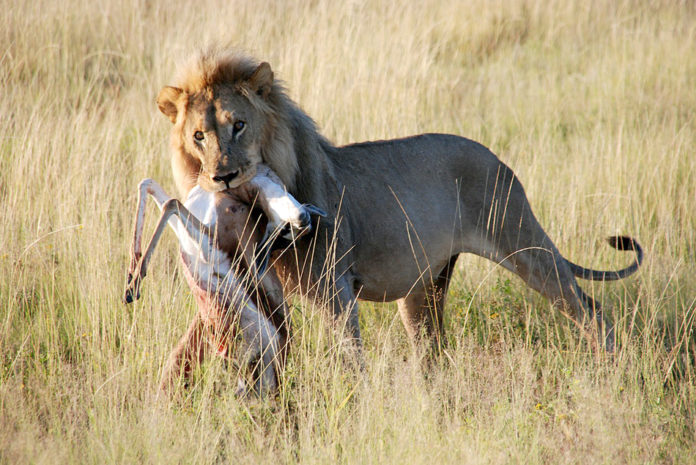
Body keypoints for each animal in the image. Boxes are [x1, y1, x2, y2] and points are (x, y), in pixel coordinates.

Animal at [156, 49, 640, 350]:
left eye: (238, 125)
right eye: (198, 136)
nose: (222, 177)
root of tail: (497, 159)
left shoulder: (336, 290)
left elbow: (348, 360)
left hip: (523, 243)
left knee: (589, 308)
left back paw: (610, 369)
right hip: (425, 287)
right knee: (434, 352)